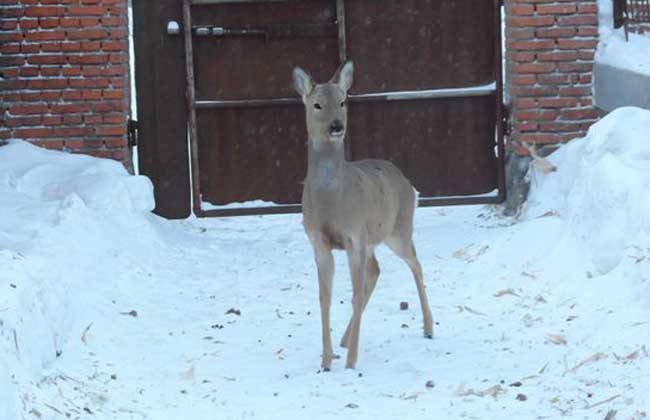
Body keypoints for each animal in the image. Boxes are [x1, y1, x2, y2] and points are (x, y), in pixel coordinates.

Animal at [292, 60, 432, 370]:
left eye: (343, 101)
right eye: (317, 104)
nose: (337, 126)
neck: (332, 203)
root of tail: (407, 182)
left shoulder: (354, 237)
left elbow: (354, 296)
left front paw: (351, 363)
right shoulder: (319, 242)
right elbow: (324, 297)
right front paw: (326, 360)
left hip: (399, 230)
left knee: (415, 264)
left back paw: (429, 327)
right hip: (373, 240)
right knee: (376, 269)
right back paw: (344, 340)